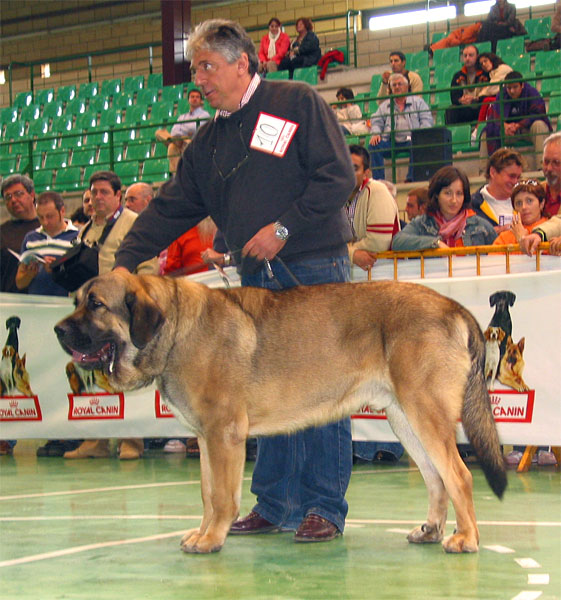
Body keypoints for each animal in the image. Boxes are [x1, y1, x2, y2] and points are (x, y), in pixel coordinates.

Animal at [54, 270, 506, 552]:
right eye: (76, 301)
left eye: (96, 304)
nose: (58, 330)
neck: (176, 325)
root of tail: (452, 306)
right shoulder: (206, 439)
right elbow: (207, 495)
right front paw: (202, 534)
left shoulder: (224, 435)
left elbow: (222, 498)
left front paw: (211, 540)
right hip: (405, 418)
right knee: (436, 479)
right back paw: (431, 530)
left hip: (425, 413)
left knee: (460, 476)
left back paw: (466, 539)